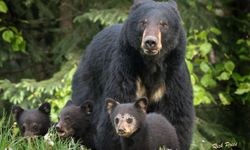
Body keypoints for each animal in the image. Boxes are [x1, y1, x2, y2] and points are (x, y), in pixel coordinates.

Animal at [71, 0, 194, 149]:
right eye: (143, 22)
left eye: (164, 24)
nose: (150, 42)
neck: (151, 66)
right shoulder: (125, 71)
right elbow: (118, 105)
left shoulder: (173, 79)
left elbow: (176, 116)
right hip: (90, 79)